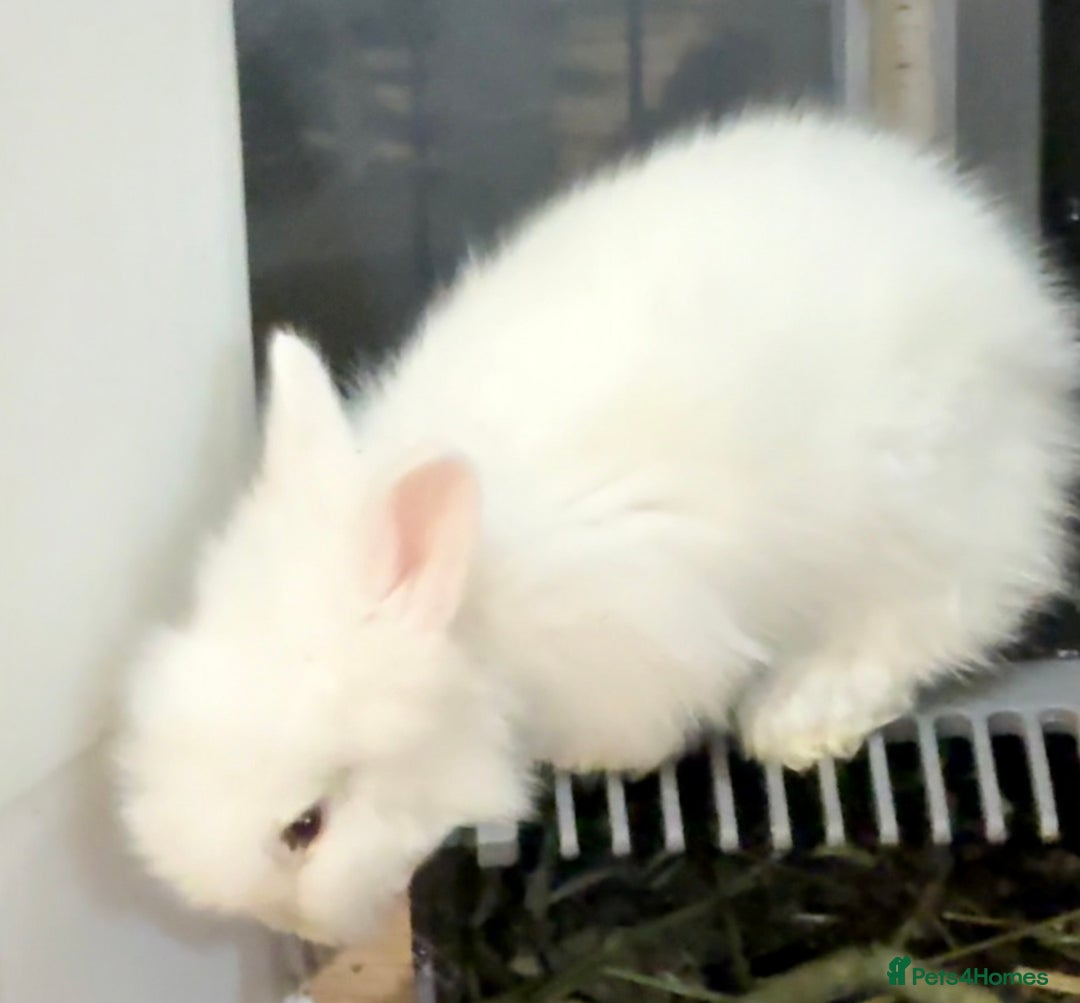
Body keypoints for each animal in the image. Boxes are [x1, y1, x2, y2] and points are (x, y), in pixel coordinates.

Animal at [114, 106, 1080, 946]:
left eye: (305, 826)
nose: (282, 929)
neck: (477, 606)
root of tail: (1026, 310)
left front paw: (590, 764)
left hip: (921, 511)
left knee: (957, 604)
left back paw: (797, 718)